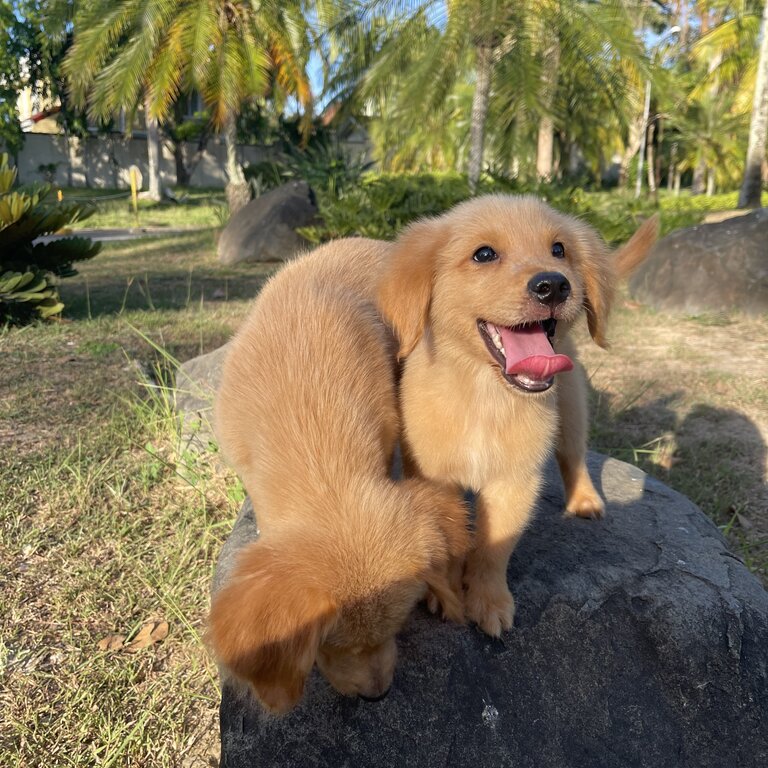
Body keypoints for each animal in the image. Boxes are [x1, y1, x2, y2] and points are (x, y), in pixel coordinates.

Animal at [376, 196, 656, 636]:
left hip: (571, 408)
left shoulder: (515, 481)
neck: (486, 396)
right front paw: (448, 595)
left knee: (574, 456)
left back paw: (585, 501)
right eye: (484, 254)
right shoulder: (436, 479)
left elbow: (494, 549)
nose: (553, 284)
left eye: (559, 250)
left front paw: (488, 601)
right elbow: (452, 542)